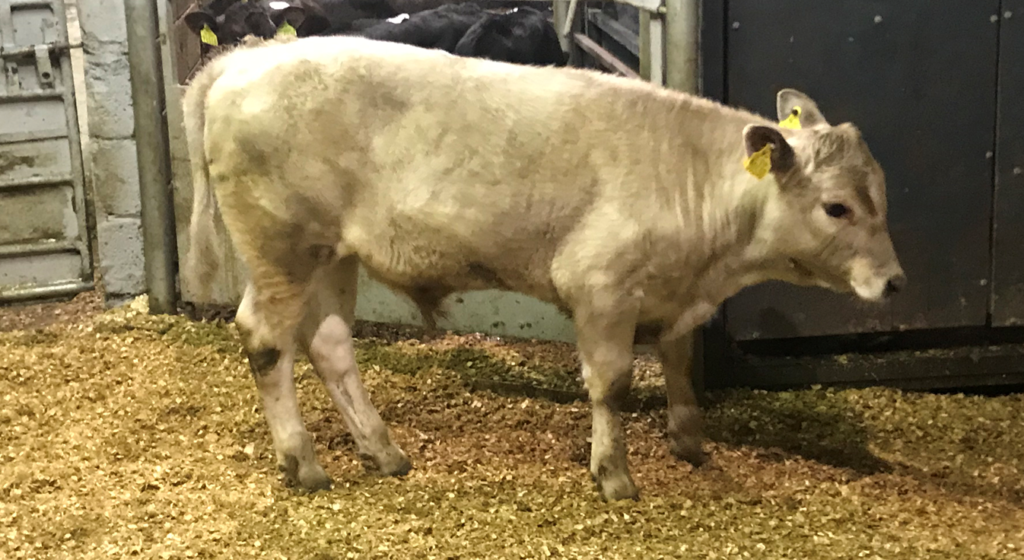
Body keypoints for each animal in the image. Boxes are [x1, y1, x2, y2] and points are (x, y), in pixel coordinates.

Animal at [182, 35, 905, 502]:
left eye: (881, 192)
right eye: (836, 207)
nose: (895, 282)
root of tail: (247, 59)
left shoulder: (674, 296)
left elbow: (677, 362)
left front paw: (690, 442)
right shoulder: (602, 288)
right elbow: (611, 384)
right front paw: (614, 475)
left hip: (332, 255)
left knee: (330, 344)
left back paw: (383, 452)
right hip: (281, 247)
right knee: (266, 339)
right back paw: (302, 462)